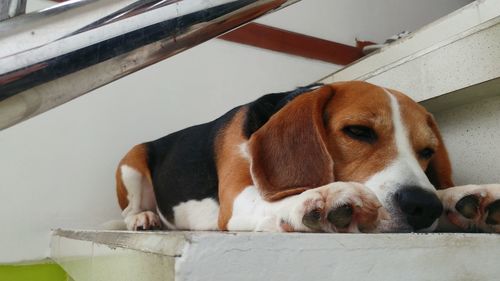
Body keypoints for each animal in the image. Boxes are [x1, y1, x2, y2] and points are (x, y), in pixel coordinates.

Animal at [114, 80, 500, 232]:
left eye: (427, 151)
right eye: (358, 131)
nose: (422, 206)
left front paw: (469, 196)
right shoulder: (236, 200)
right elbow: (279, 200)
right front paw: (323, 198)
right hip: (131, 162)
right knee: (131, 209)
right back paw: (143, 218)